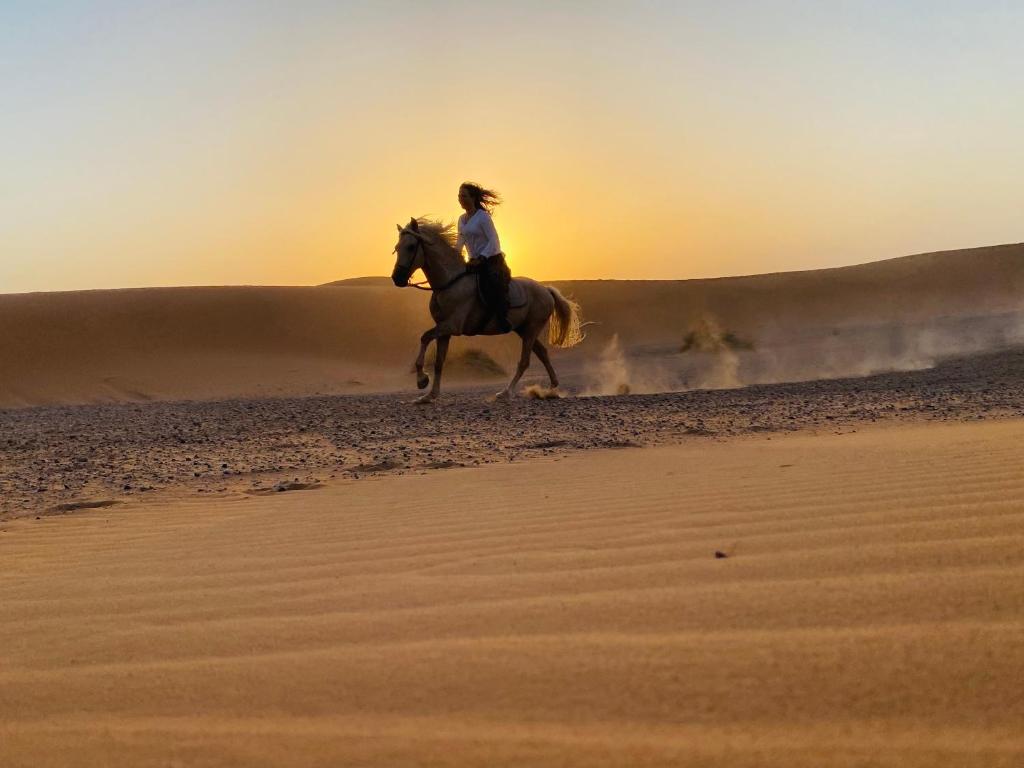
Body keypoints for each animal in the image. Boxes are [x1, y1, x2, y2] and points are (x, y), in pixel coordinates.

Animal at [391, 217, 585, 403]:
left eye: (411, 247)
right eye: (397, 248)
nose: (397, 279)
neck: (450, 283)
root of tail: (546, 290)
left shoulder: (451, 326)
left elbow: (424, 337)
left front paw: (422, 380)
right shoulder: (444, 330)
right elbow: (439, 362)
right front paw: (430, 395)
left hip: (531, 329)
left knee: (524, 361)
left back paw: (505, 393)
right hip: (523, 330)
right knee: (542, 353)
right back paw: (552, 388)